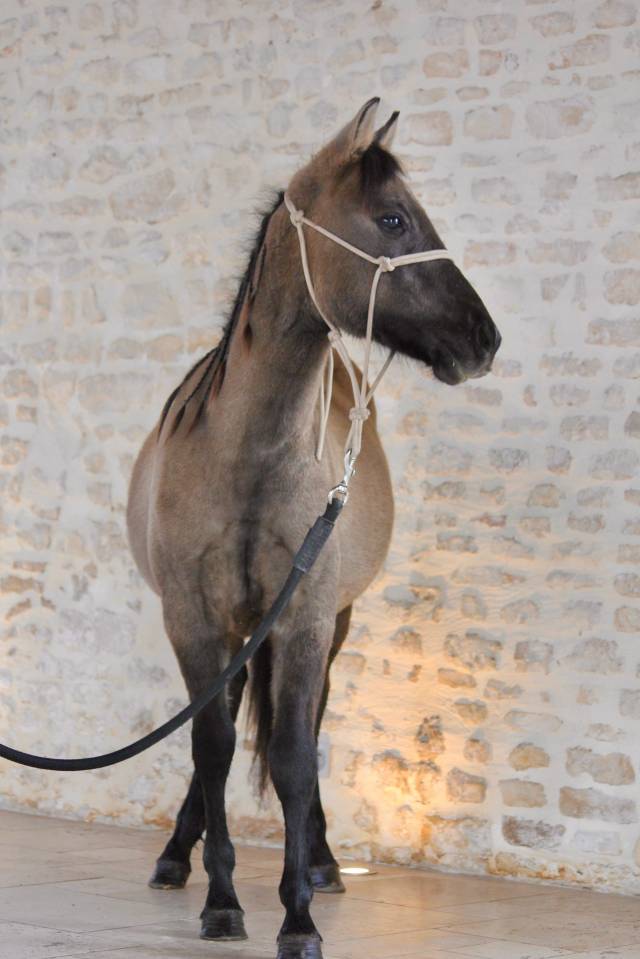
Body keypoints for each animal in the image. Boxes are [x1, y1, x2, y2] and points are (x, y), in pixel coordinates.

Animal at [126, 98, 501, 959]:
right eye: (393, 217)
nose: (485, 339)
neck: (247, 456)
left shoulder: (301, 618)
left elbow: (296, 754)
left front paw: (297, 913)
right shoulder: (193, 618)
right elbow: (211, 744)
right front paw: (222, 898)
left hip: (333, 620)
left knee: (312, 717)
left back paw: (325, 860)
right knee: (223, 725)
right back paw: (177, 853)